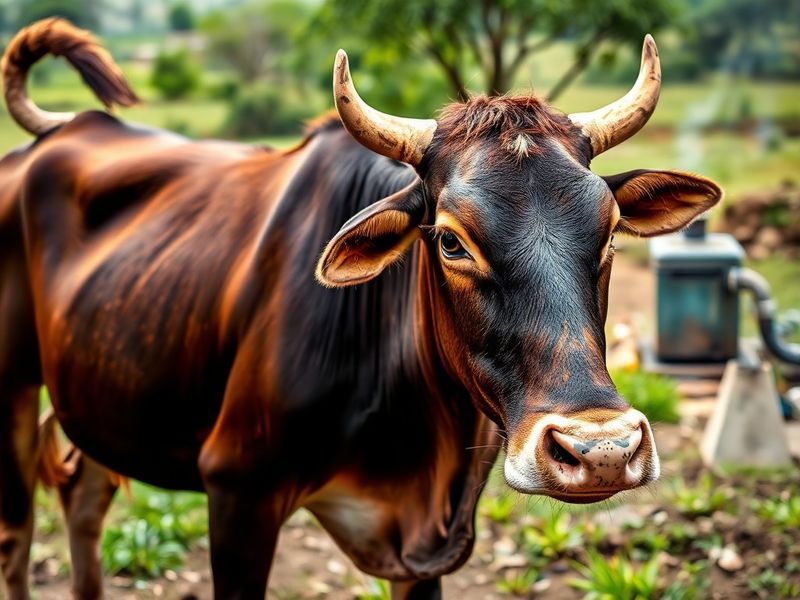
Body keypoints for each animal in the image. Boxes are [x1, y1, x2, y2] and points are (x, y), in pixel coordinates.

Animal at [0, 18, 721, 600]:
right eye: (451, 241)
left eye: (610, 228)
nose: (601, 450)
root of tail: (66, 129)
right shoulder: (237, 491)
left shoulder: (426, 554)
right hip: (17, 388)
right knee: (17, 533)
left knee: (82, 499)